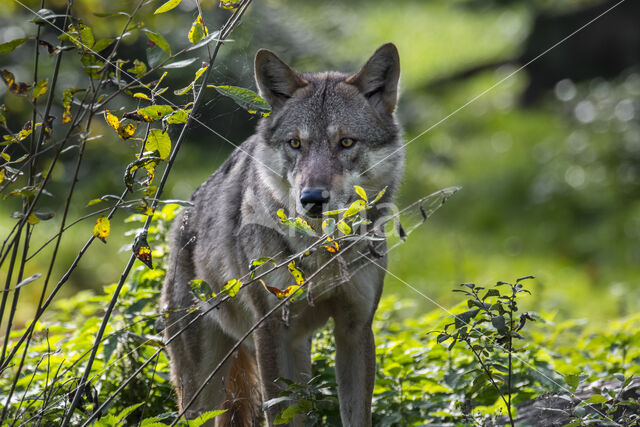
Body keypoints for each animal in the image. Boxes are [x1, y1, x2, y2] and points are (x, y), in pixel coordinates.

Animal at [162, 41, 404, 426]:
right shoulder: (270, 330)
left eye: (345, 142)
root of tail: (183, 217)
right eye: (295, 144)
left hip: (296, 355)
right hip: (201, 393)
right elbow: (278, 413)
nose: (312, 199)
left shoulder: (355, 329)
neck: (322, 252)